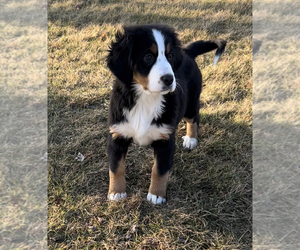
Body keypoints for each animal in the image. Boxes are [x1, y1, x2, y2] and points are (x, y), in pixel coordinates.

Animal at [105, 23, 225, 204]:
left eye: (170, 56)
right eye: (148, 57)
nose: (169, 79)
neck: (146, 98)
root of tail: (187, 51)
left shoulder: (165, 139)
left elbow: (159, 171)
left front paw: (156, 195)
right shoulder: (118, 135)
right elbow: (116, 167)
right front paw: (116, 193)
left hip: (190, 103)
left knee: (194, 118)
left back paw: (191, 139)